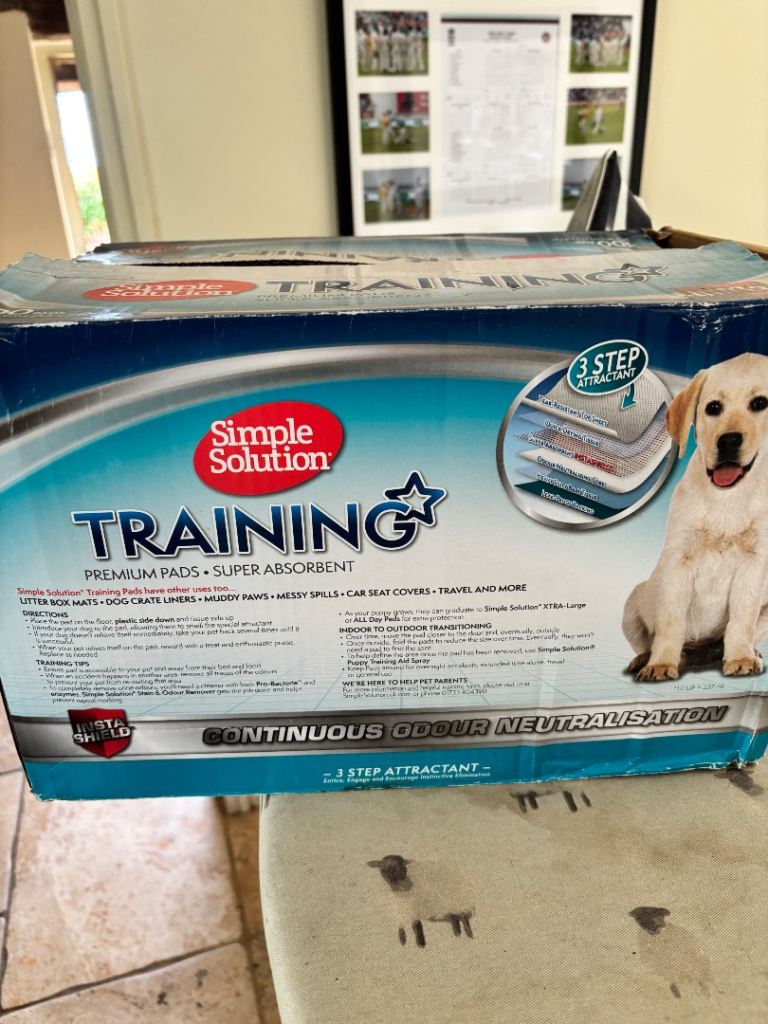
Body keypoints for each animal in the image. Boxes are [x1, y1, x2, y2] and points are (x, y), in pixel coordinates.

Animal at [623, 352, 768, 681]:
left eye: (760, 403)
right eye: (713, 408)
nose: (728, 441)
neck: (728, 497)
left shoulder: (755, 563)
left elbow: (742, 619)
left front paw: (739, 657)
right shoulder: (679, 559)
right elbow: (670, 622)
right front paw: (661, 662)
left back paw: (744, 653)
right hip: (635, 600)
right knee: (649, 641)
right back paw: (650, 658)